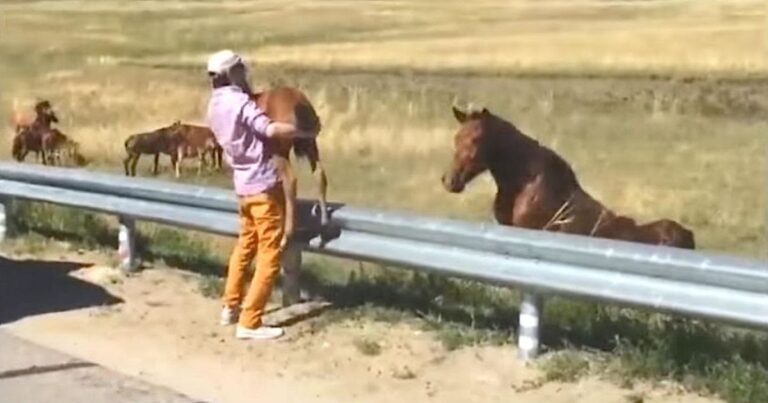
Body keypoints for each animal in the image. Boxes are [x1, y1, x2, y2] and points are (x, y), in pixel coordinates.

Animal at [249, 87, 328, 248]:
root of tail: (300, 103)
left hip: (279, 151)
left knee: (290, 180)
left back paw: (285, 236)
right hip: (310, 144)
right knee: (319, 175)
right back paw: (321, 233)